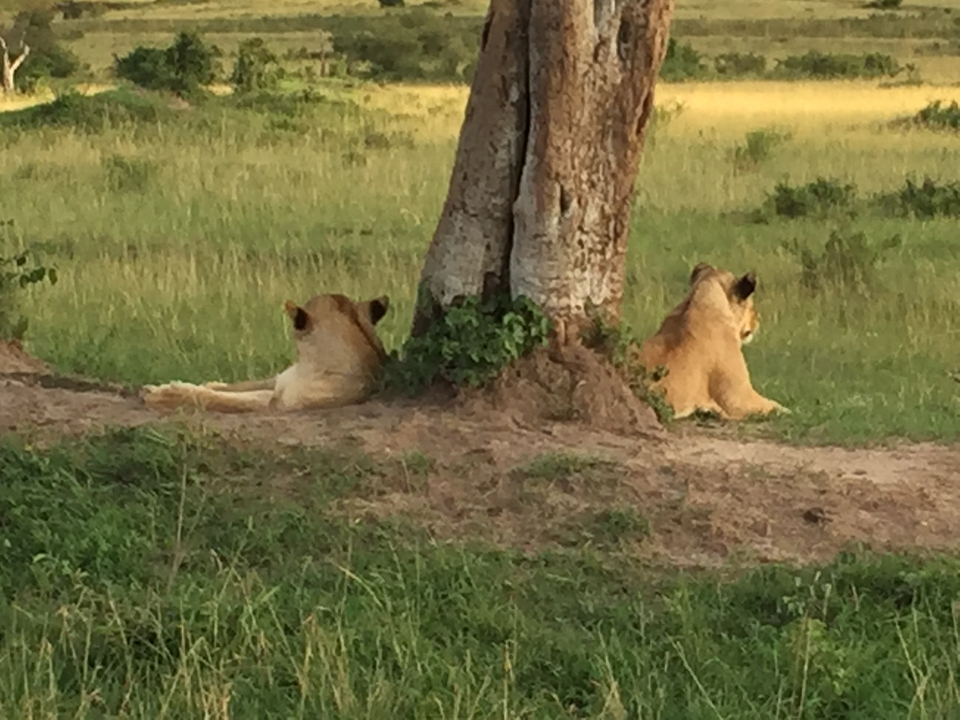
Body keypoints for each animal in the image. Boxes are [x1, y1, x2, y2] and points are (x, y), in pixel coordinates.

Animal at [142, 293, 390, 413]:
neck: (307, 364)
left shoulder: (275, 404)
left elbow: (224, 399)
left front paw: (165, 394)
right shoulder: (277, 379)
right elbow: (237, 386)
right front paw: (205, 384)